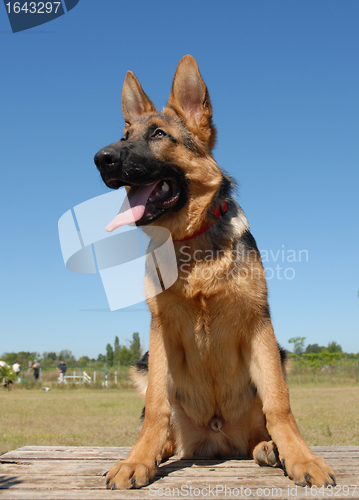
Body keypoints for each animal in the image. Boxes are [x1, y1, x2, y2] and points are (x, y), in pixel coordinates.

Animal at [94, 53, 336, 488]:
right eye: (124, 134)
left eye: (159, 134)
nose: (101, 159)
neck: (192, 245)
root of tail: (218, 440)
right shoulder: (161, 333)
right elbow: (156, 407)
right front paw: (138, 459)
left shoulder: (259, 325)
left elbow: (279, 404)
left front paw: (302, 458)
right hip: (143, 364)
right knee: (162, 420)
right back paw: (160, 450)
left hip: (279, 355)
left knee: (263, 422)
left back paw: (269, 447)